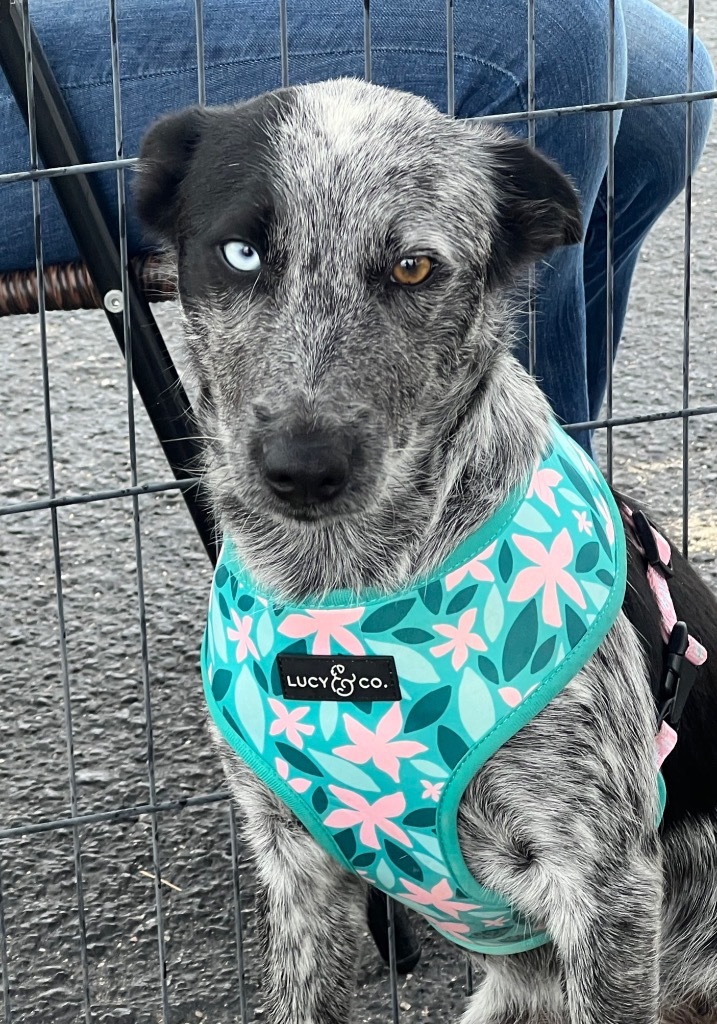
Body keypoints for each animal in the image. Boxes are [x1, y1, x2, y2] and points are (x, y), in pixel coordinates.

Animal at [137, 77, 717, 1024]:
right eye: (240, 252)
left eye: (413, 267)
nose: (302, 468)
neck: (341, 590)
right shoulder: (294, 862)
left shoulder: (603, 885)